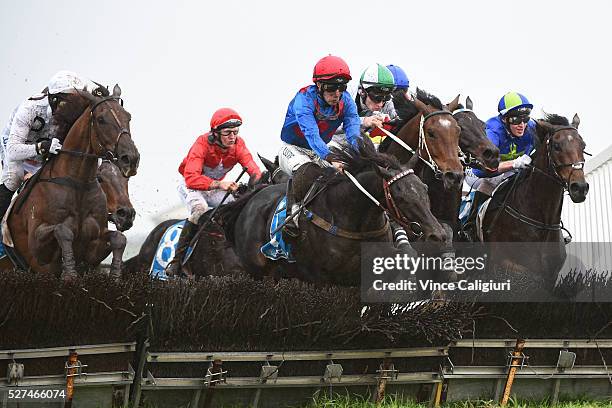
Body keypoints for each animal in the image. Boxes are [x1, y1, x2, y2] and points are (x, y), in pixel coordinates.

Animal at [5, 84, 140, 278]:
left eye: (128, 116)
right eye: (101, 119)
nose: (131, 158)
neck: (78, 184)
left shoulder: (93, 250)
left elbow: (118, 238)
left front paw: (115, 275)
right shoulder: (38, 253)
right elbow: (63, 230)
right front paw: (69, 273)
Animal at [220, 141, 444, 286]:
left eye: (425, 189)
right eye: (400, 195)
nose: (438, 235)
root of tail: (252, 198)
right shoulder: (319, 277)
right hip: (259, 271)